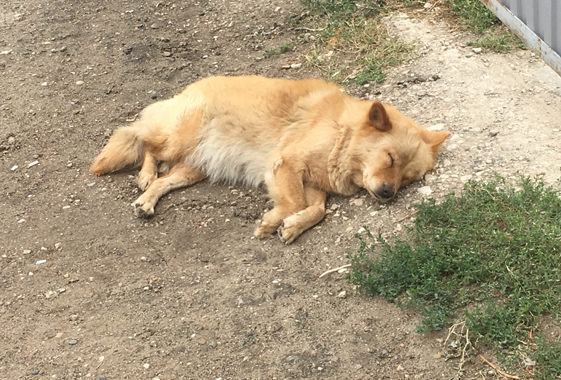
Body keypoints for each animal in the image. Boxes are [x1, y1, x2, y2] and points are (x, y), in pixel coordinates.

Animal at [92, 75, 450, 243]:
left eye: (408, 178)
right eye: (390, 159)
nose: (388, 194)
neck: (343, 133)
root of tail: (187, 91)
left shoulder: (315, 184)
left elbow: (317, 210)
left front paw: (292, 226)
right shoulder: (287, 164)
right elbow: (295, 203)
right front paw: (275, 220)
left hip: (195, 169)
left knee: (166, 179)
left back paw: (147, 201)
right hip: (178, 139)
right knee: (145, 143)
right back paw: (145, 176)